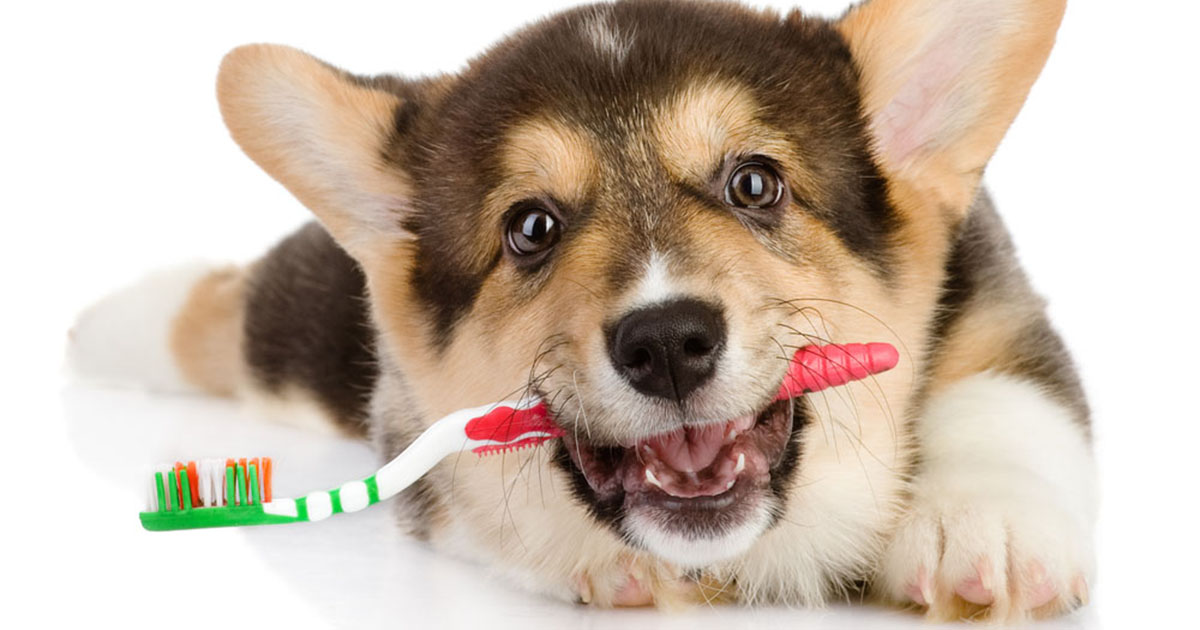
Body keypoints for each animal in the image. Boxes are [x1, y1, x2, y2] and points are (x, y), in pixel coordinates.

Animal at [70, 0, 1094, 619]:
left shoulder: (997, 295)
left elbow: (1004, 398)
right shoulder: (412, 426)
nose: (667, 343)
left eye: (755, 183)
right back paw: (110, 322)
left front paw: (983, 526)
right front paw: (607, 566)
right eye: (531, 227)